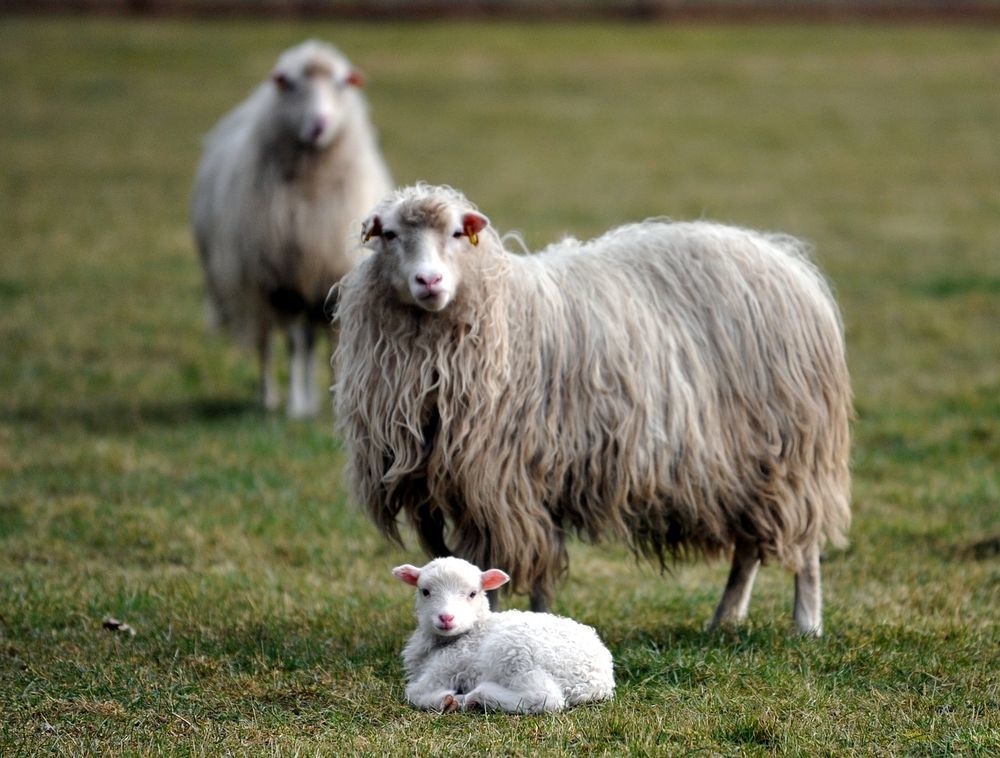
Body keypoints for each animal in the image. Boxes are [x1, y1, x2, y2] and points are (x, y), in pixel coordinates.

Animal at [189, 40, 392, 422]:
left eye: (341, 84)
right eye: (293, 85)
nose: (319, 124)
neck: (312, 186)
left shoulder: (330, 275)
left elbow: (330, 344)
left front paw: (332, 402)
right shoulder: (280, 279)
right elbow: (294, 346)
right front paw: (296, 406)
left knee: (308, 341)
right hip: (258, 287)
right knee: (268, 343)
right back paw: (270, 396)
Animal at [336, 187, 852, 640]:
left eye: (458, 234)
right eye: (390, 235)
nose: (429, 281)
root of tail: (786, 260)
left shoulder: (504, 481)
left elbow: (497, 573)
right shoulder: (488, 484)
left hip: (792, 452)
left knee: (804, 548)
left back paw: (807, 624)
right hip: (746, 466)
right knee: (747, 549)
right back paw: (725, 619)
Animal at [392, 556, 612, 716]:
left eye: (472, 593)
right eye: (425, 591)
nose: (446, 617)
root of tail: (598, 682)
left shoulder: (448, 666)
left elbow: (413, 693)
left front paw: (445, 701)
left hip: (515, 655)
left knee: (545, 698)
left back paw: (476, 697)